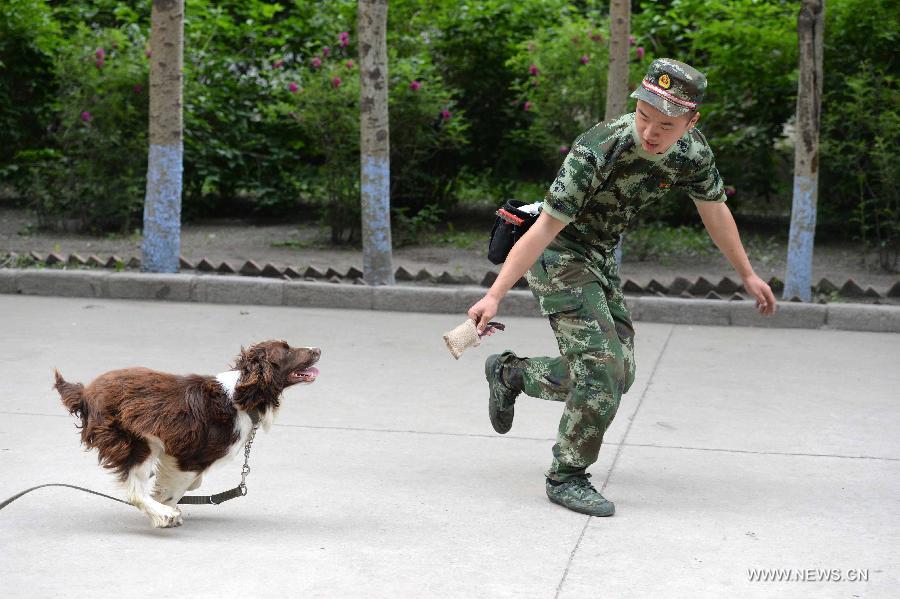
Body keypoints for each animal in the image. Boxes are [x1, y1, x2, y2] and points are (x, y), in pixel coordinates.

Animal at [53, 340, 320, 528]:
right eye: (286, 350)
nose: (317, 349)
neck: (242, 395)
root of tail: (85, 394)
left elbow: (191, 483)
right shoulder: (189, 457)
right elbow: (175, 489)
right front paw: (169, 510)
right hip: (135, 441)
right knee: (134, 492)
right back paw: (162, 515)